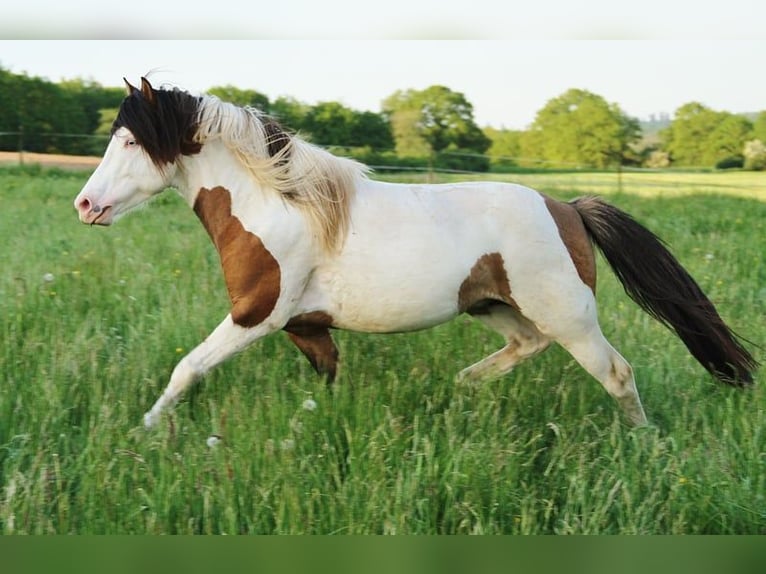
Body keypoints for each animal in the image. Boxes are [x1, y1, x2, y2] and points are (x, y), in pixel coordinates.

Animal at [74, 77, 757, 429]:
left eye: (130, 141)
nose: (85, 205)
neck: (277, 206)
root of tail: (567, 207)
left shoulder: (256, 316)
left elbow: (187, 367)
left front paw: (144, 429)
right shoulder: (304, 325)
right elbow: (329, 375)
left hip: (570, 317)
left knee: (615, 372)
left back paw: (645, 440)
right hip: (494, 307)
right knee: (525, 346)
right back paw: (463, 389)